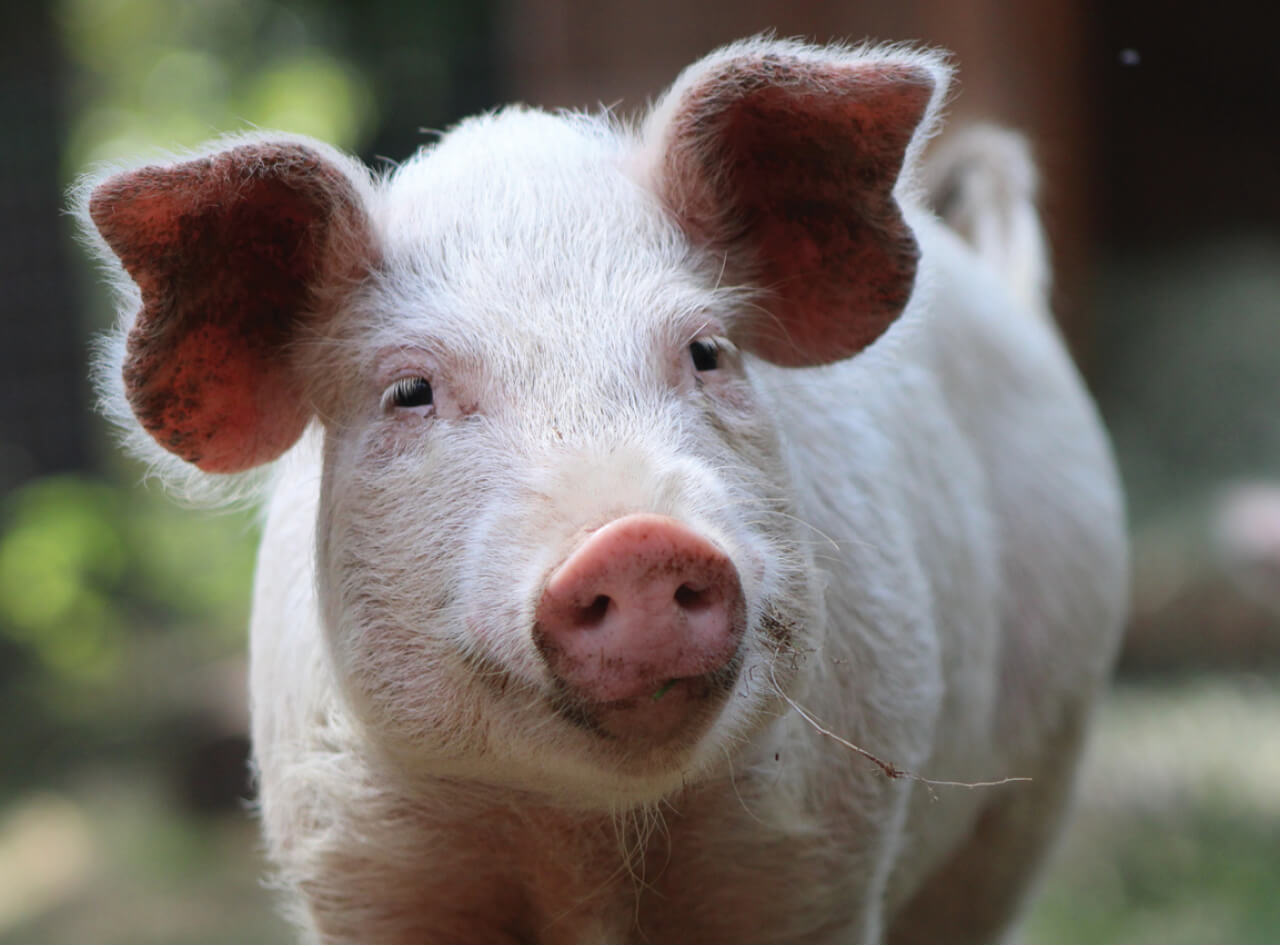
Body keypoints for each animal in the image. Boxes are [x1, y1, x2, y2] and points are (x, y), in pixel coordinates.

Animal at [79, 37, 1128, 943]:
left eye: (707, 351)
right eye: (410, 391)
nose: (637, 539)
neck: (587, 840)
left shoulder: (817, 861)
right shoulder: (358, 863)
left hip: (1032, 787)